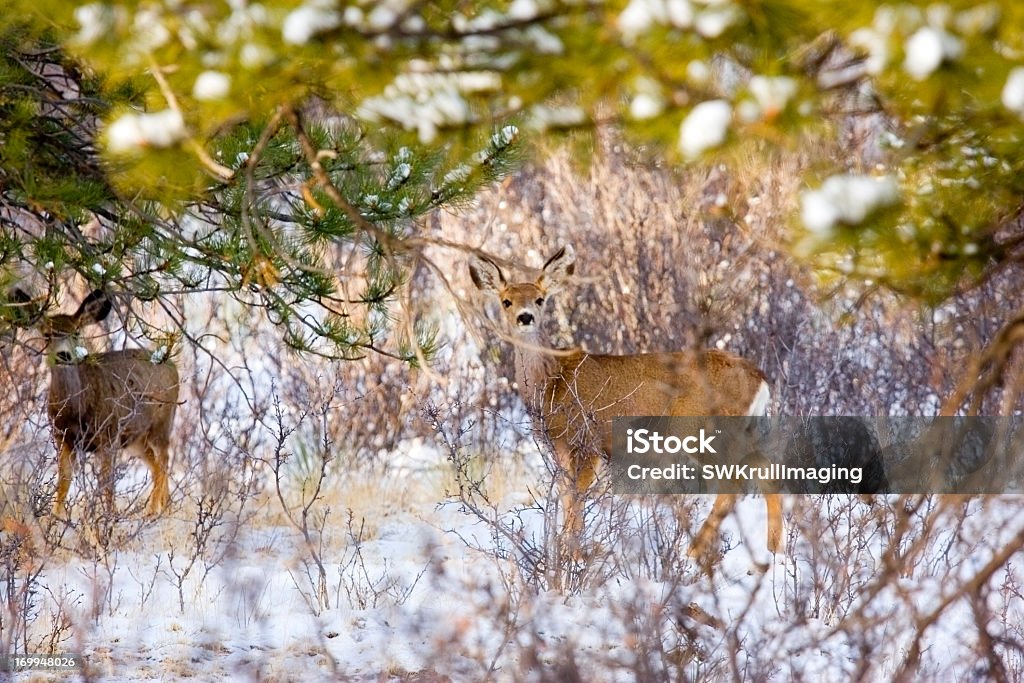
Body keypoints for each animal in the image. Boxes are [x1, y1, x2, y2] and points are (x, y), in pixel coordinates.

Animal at [15, 290, 180, 518]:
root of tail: (172, 364)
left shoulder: (108, 436)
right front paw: (56, 517)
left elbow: (107, 485)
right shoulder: (62, 437)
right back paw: (162, 507)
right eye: (47, 335)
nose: (63, 355)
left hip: (162, 424)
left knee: (164, 461)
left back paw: (154, 511)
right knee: (155, 465)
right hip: (136, 439)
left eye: (76, 333)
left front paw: (106, 519)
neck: (76, 410)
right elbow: (64, 482)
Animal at [471, 248, 782, 565]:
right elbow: (567, 497)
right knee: (767, 470)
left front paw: (573, 558)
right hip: (745, 428)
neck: (552, 382)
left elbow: (577, 500)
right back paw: (774, 551)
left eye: (539, 299)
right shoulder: (559, 446)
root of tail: (759, 378)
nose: (525, 317)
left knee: (734, 485)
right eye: (506, 301)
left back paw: (692, 552)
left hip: (700, 428)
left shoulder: (588, 441)